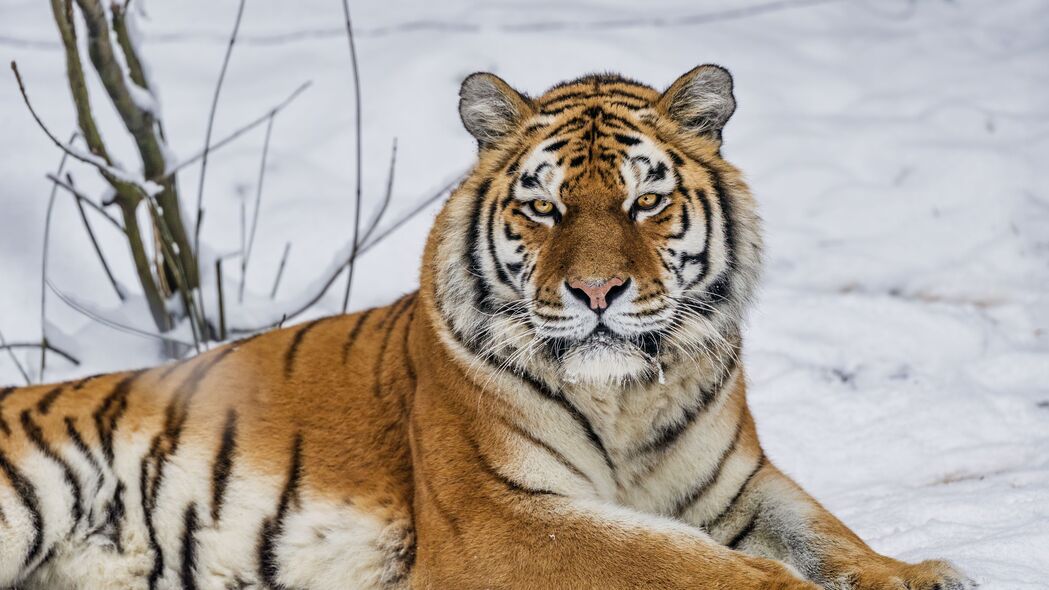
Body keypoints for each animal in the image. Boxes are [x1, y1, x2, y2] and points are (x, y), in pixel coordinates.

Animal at [0, 64, 973, 587]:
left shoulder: (738, 485)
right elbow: (674, 560)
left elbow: (828, 534)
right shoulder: (499, 514)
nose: (595, 290)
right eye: (543, 207)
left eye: (644, 201)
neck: (627, 400)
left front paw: (919, 574)